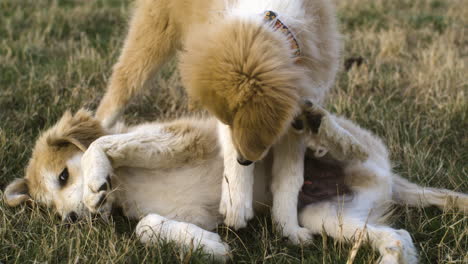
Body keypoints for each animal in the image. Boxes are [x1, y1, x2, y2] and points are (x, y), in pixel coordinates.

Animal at [4, 104, 468, 262]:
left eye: (63, 175)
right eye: (52, 212)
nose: (71, 220)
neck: (126, 186)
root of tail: (390, 179)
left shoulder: (182, 138)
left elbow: (102, 141)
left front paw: (98, 172)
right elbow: (146, 226)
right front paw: (208, 247)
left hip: (347, 153)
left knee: (344, 141)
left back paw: (318, 125)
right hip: (326, 215)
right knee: (399, 237)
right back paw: (390, 257)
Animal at [93, 0, 342, 241]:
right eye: (229, 122)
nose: (244, 160)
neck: (273, 19)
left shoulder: (300, 111)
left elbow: (290, 177)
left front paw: (288, 227)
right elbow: (230, 147)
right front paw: (236, 202)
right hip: (153, 34)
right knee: (120, 87)